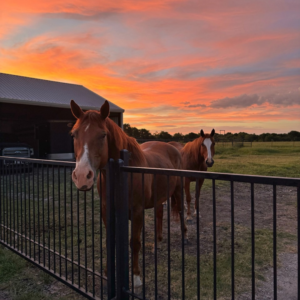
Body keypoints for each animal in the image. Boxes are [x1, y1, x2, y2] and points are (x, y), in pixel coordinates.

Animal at [70, 99, 188, 288]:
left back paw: (185, 237)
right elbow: (110, 241)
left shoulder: (137, 211)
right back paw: (157, 243)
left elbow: (135, 242)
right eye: (74, 134)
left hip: (178, 191)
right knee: (160, 214)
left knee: (182, 212)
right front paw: (107, 273)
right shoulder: (107, 210)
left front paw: (137, 277)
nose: (82, 176)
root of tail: (173, 147)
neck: (122, 173)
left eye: (103, 135)